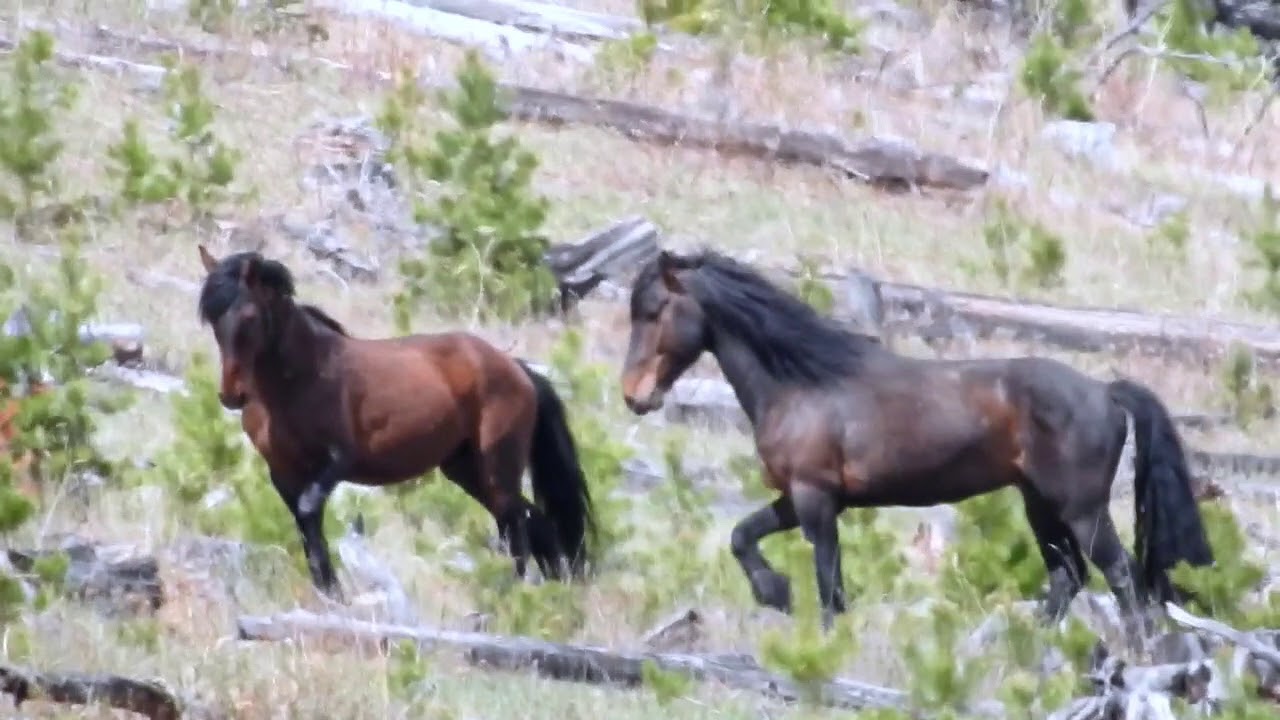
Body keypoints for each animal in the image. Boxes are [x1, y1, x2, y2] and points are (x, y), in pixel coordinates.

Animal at [194, 245, 598, 601]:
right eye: (211, 319)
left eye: (248, 316)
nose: (232, 395)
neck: (301, 378)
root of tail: (517, 369)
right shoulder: (282, 472)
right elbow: (306, 528)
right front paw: (328, 593)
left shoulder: (336, 461)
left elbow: (309, 512)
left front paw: (334, 592)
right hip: (464, 469)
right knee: (534, 521)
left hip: (499, 466)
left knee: (515, 525)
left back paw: (512, 593)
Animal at [619, 248, 1214, 638]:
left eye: (654, 310)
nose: (633, 394)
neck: (801, 382)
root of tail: (1105, 392)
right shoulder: (799, 498)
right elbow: (743, 536)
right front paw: (776, 593)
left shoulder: (815, 501)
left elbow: (829, 586)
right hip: (1039, 505)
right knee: (1067, 579)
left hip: (1082, 511)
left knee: (1122, 579)